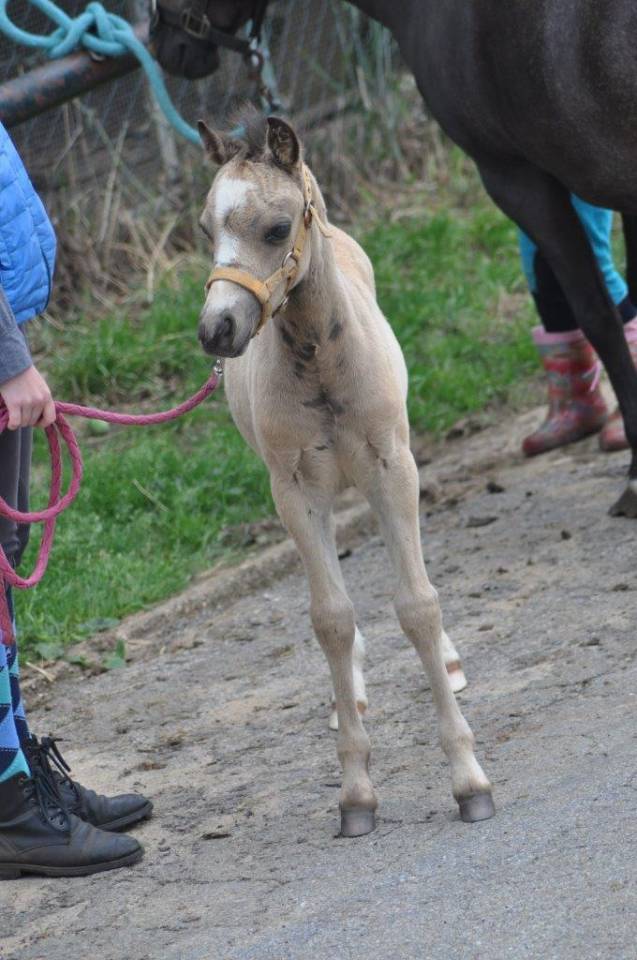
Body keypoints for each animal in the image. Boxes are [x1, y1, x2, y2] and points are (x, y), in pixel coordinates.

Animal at [195, 107, 495, 836]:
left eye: (276, 230)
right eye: (205, 231)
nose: (217, 330)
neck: (320, 362)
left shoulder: (393, 468)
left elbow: (417, 604)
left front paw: (468, 779)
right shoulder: (293, 491)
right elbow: (330, 617)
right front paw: (356, 793)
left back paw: (445, 661)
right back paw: (349, 697)